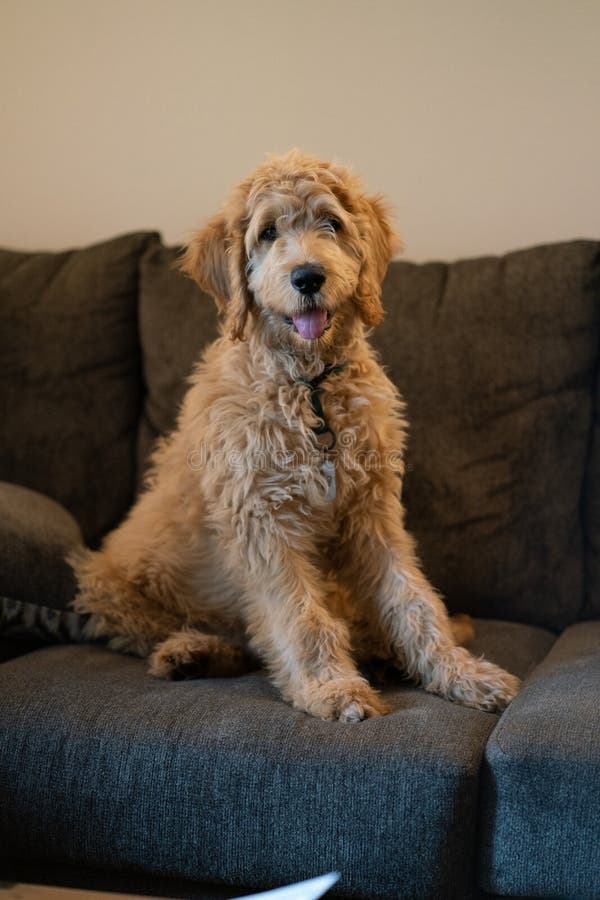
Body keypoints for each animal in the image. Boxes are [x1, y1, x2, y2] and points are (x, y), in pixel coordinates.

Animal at [71, 149, 520, 724]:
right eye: (267, 232)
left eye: (331, 222)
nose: (308, 276)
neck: (310, 389)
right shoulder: (262, 521)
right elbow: (300, 615)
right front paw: (331, 687)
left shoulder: (371, 514)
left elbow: (412, 599)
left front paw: (459, 672)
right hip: (105, 585)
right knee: (200, 634)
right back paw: (192, 652)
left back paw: (379, 653)